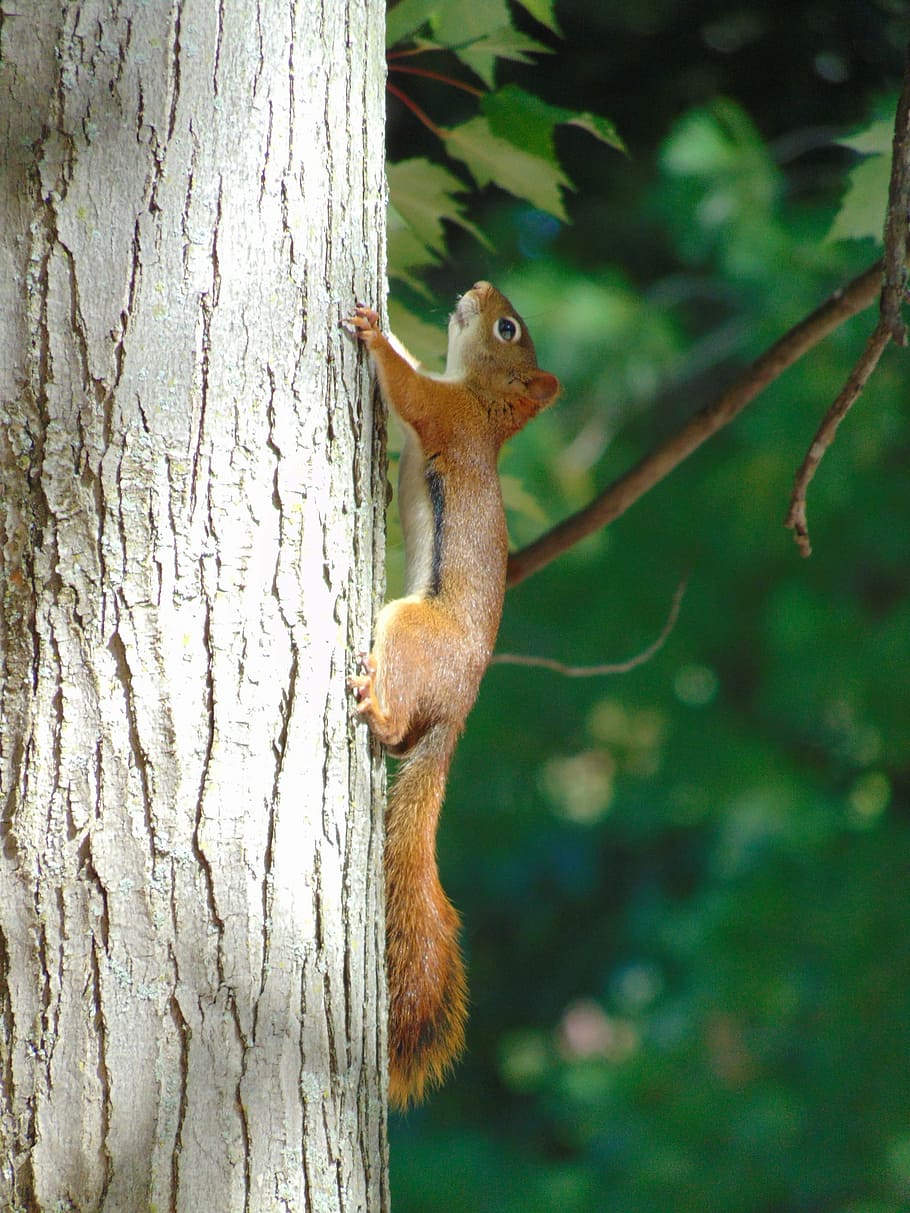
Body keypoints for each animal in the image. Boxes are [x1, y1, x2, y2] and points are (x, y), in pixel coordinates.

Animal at [345, 282, 560, 1108]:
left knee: (394, 718)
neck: (481, 401)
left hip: (408, 629)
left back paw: (374, 703)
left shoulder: (443, 415)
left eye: (507, 327)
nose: (477, 288)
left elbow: (407, 390)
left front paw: (375, 332)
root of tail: (457, 711)